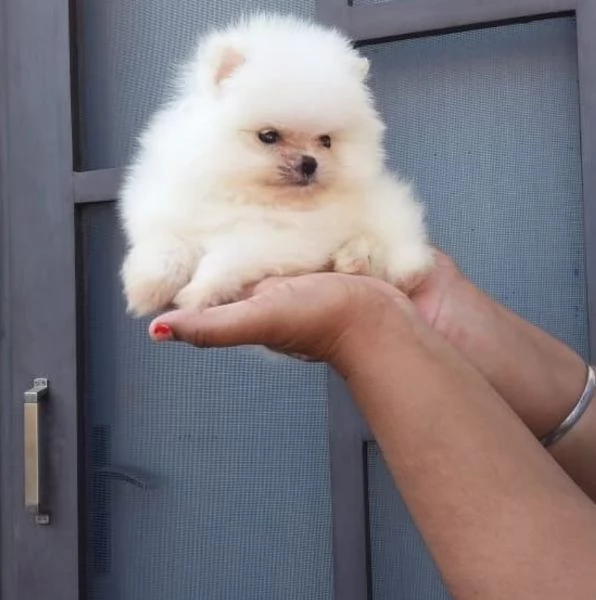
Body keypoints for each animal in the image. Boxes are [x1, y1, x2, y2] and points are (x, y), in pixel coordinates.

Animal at [117, 14, 434, 316]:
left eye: (326, 141)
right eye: (268, 136)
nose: (309, 163)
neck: (242, 194)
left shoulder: (279, 241)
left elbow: (226, 257)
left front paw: (199, 292)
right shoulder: (169, 211)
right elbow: (166, 247)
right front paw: (146, 289)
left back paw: (357, 260)